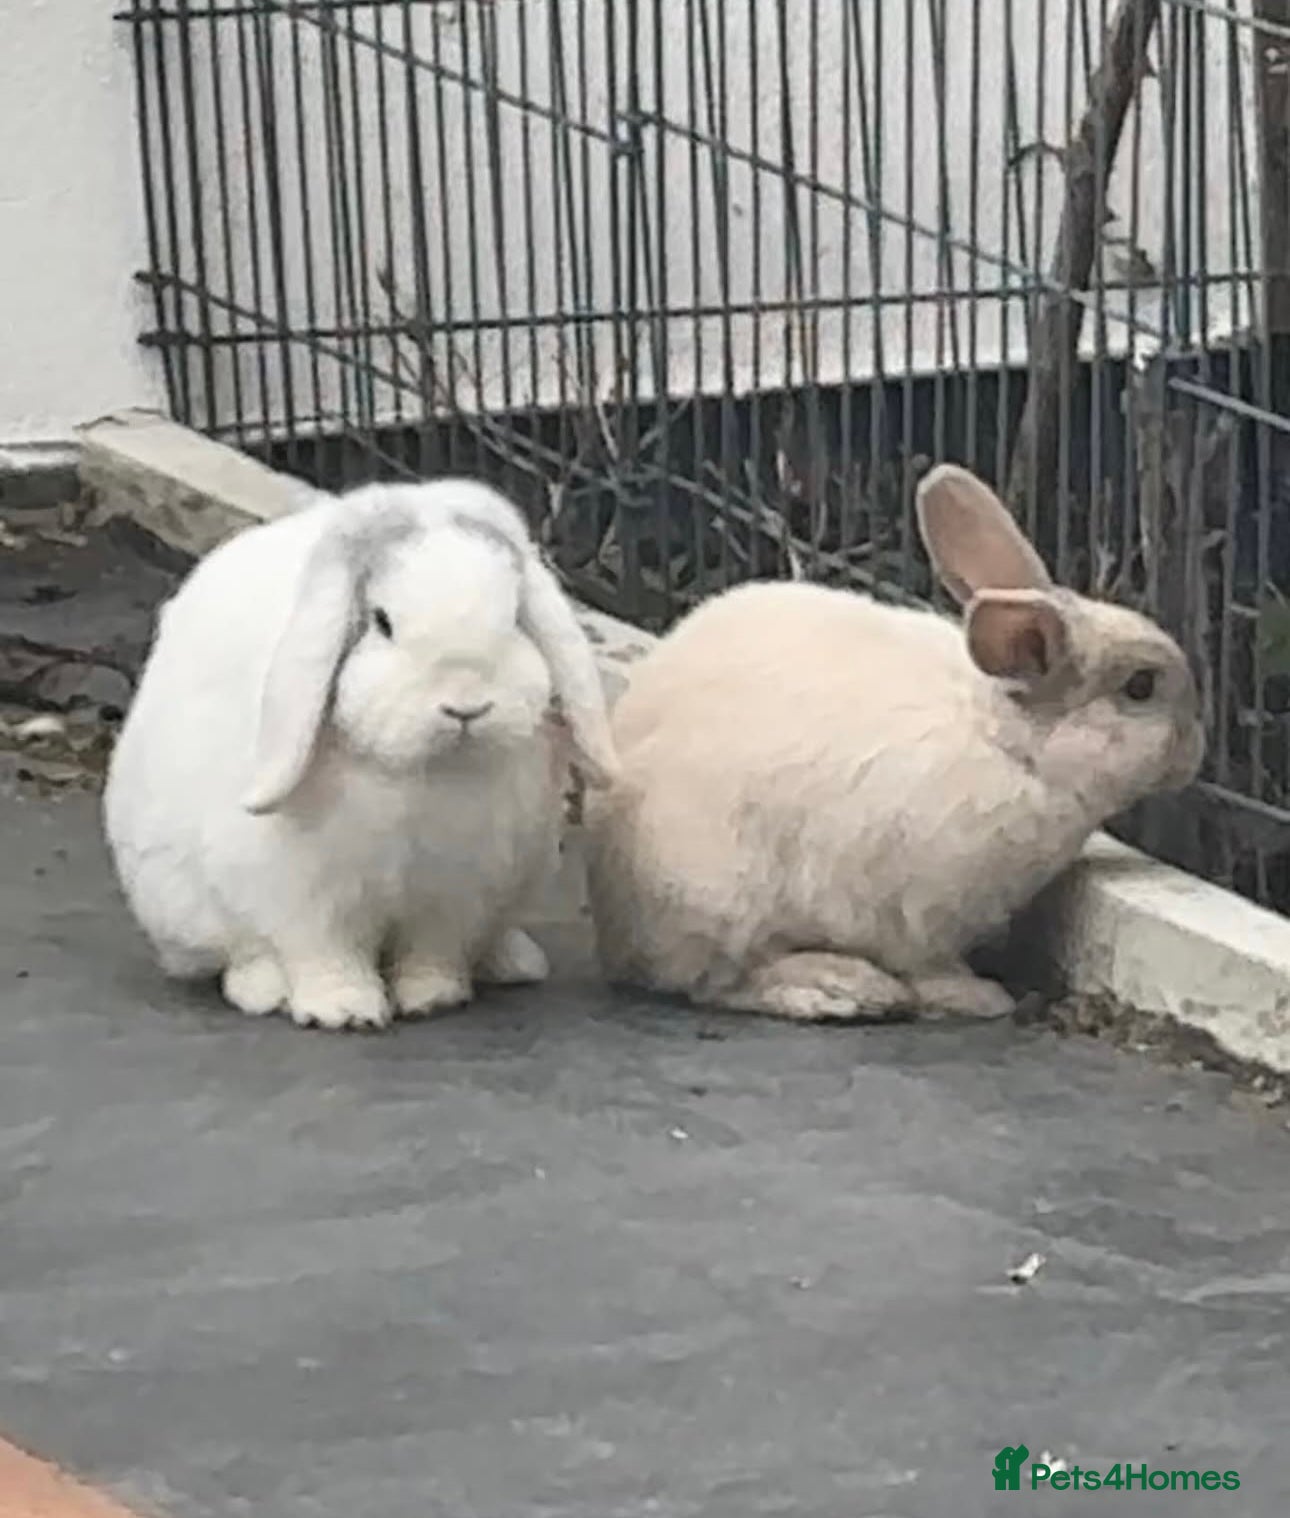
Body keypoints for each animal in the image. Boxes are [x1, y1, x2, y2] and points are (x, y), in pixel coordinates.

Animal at [103, 476, 618, 1031]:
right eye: (382, 622)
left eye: (514, 618)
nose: (466, 706)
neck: (431, 771)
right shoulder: (306, 899)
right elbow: (324, 954)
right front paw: (345, 1012)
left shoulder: (455, 895)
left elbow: (433, 953)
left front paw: (432, 998)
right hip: (186, 903)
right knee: (240, 954)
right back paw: (263, 989)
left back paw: (515, 962)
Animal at [583, 463, 1205, 1023]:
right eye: (1141, 687)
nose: (1197, 749)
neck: (1009, 747)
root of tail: (615, 927)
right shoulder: (920, 913)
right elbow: (929, 966)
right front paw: (981, 999)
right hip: (718, 899)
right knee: (719, 982)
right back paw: (840, 989)